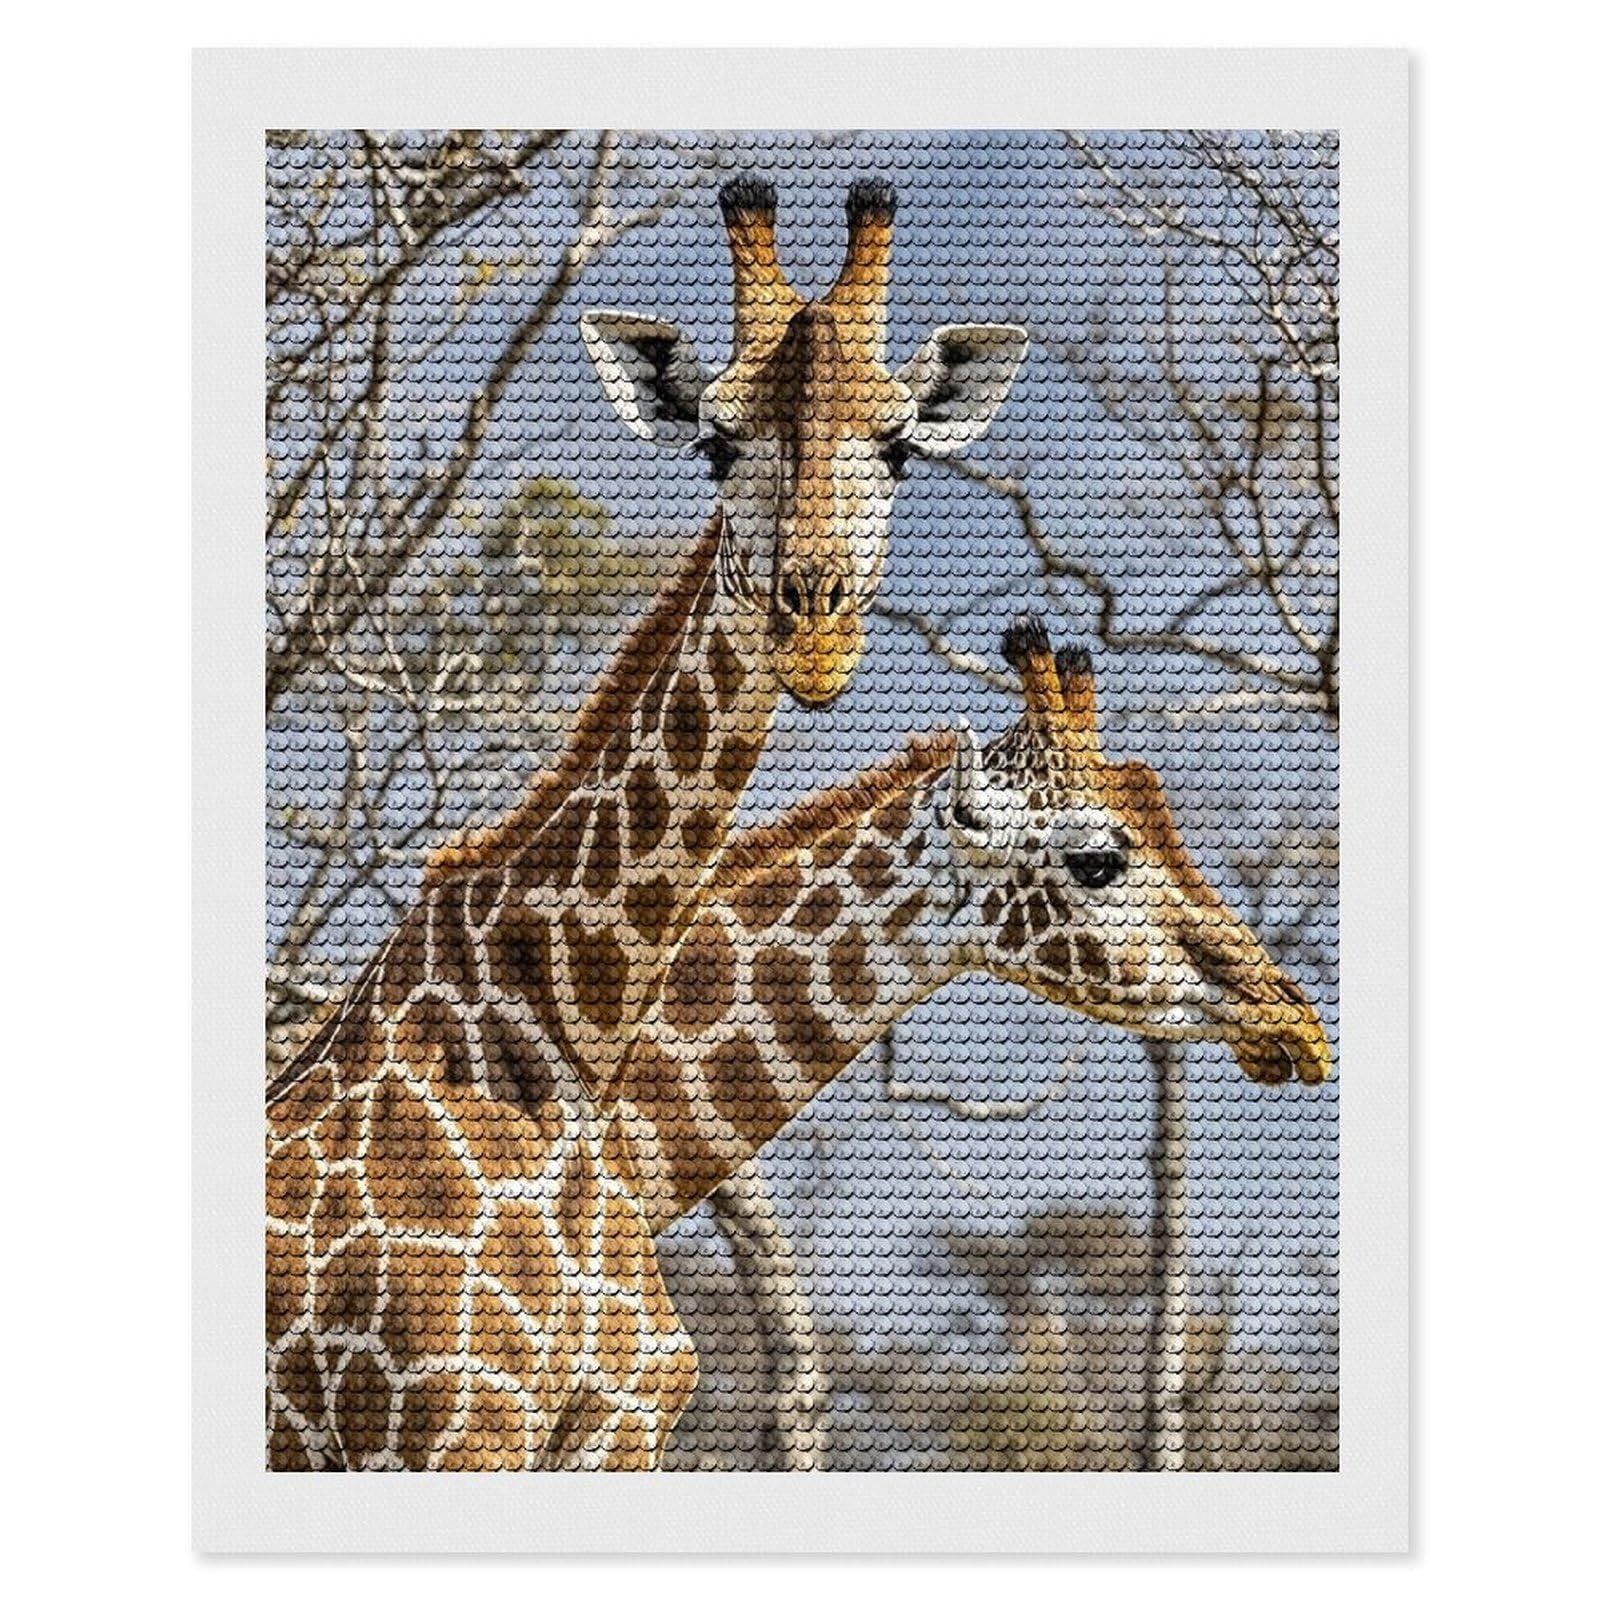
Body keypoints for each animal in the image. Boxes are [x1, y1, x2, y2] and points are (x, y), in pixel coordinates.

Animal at [265, 177, 1028, 1471]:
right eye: (718, 443)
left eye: (897, 448)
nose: (813, 633)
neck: (572, 1021)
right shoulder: (439, 1427)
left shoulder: (613, 1432)